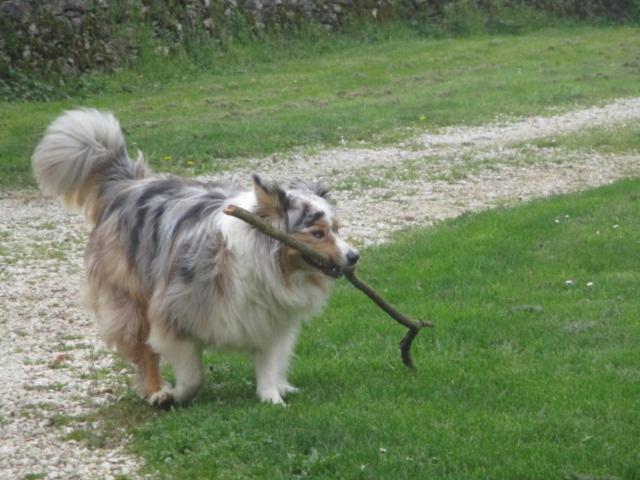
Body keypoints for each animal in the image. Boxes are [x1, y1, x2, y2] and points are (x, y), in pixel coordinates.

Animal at [32, 108, 358, 404]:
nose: (355, 256)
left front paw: (272, 398)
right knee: (142, 348)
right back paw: (157, 391)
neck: (263, 260)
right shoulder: (174, 314)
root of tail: (128, 184)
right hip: (130, 297)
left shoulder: (268, 317)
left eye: (337, 229)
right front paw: (178, 395)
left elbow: (268, 362)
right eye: (317, 233)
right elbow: (192, 375)